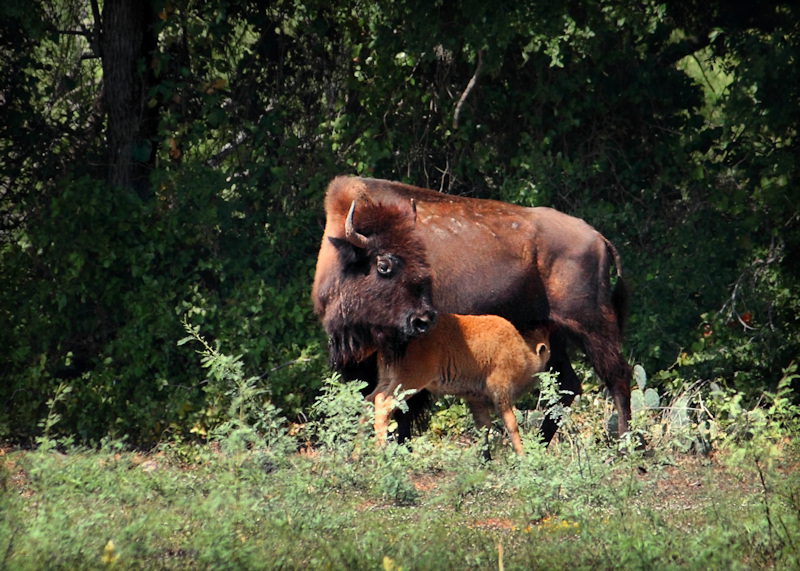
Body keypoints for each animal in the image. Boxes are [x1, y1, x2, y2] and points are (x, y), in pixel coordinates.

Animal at [368, 312, 552, 456]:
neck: (523, 351)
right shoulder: (501, 392)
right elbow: (511, 423)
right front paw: (522, 456)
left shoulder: (477, 399)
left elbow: (484, 427)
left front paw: (485, 459)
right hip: (409, 382)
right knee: (383, 404)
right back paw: (380, 450)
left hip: (387, 380)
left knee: (369, 401)